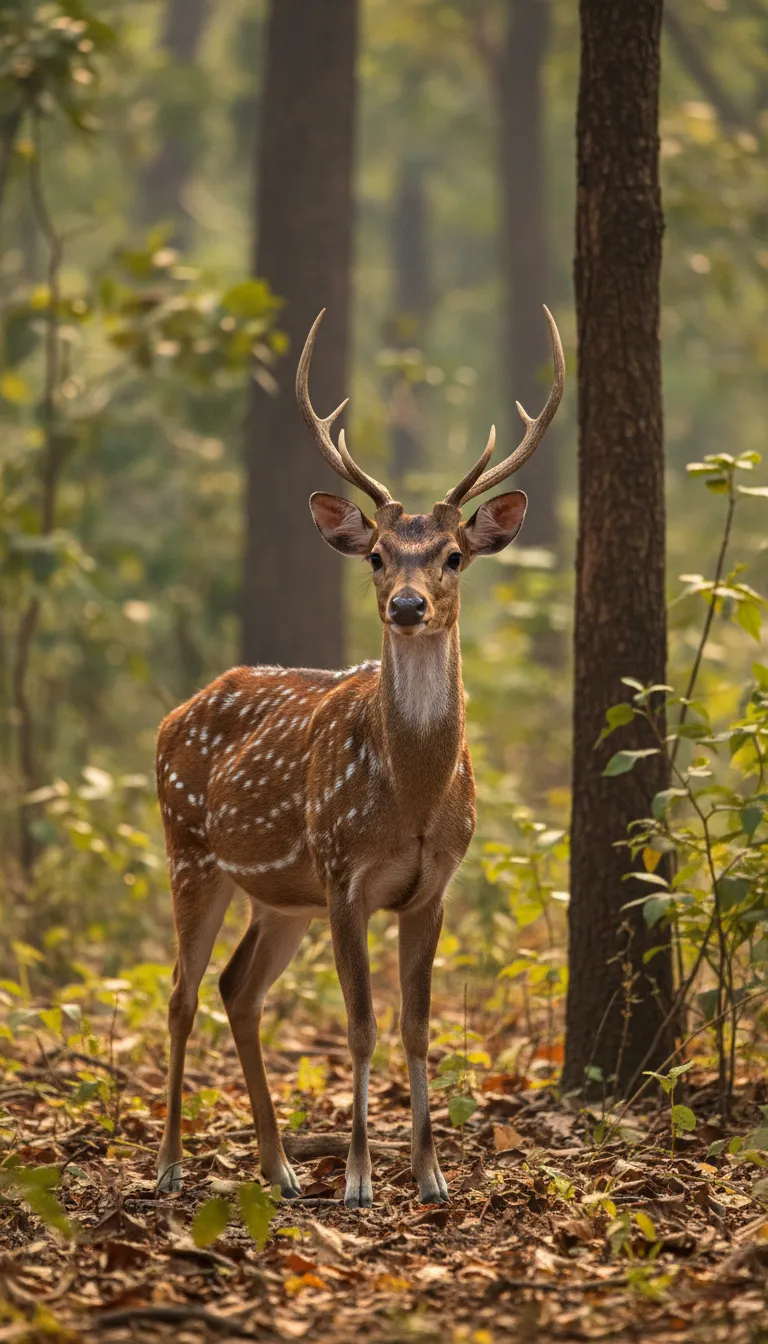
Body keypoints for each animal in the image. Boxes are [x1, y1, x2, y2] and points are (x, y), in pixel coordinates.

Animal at [155, 306, 564, 1208]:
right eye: (377, 554)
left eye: (453, 555)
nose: (407, 605)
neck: (410, 797)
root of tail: (174, 714)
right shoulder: (344, 874)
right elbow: (361, 1023)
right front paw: (357, 1179)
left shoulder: (433, 884)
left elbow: (416, 1023)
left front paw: (432, 1175)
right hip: (190, 849)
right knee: (182, 991)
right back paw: (168, 1166)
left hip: (282, 897)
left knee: (238, 988)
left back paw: (278, 1168)